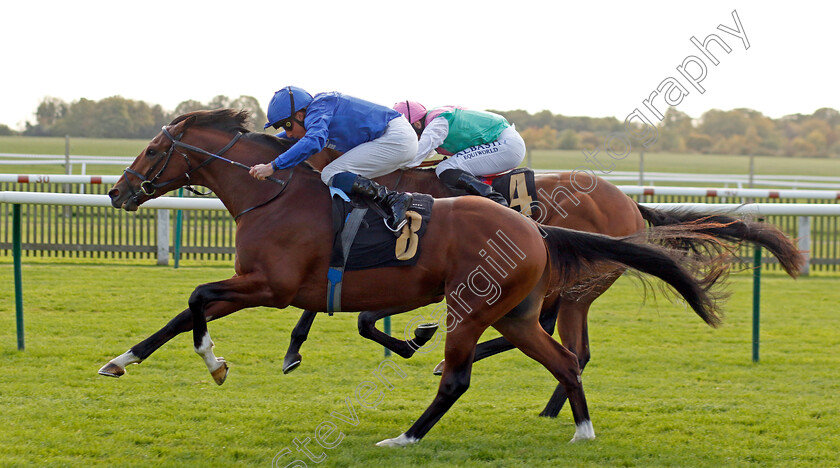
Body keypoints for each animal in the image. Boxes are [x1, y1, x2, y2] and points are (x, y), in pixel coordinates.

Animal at [100, 108, 728, 444]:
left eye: (153, 149)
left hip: (493, 303)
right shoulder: (268, 285)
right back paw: (578, 428)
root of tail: (536, 230)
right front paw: (121, 360)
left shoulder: (271, 288)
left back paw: (407, 433)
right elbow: (183, 313)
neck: (276, 193)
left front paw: (217, 362)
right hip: (521, 311)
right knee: (566, 357)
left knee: (467, 375)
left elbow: (197, 298)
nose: (117, 192)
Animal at [290, 150, 808, 416]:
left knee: (565, 345)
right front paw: (295, 348)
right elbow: (326, 300)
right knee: (552, 337)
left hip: (575, 286)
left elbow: (352, 310)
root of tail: (631, 204)